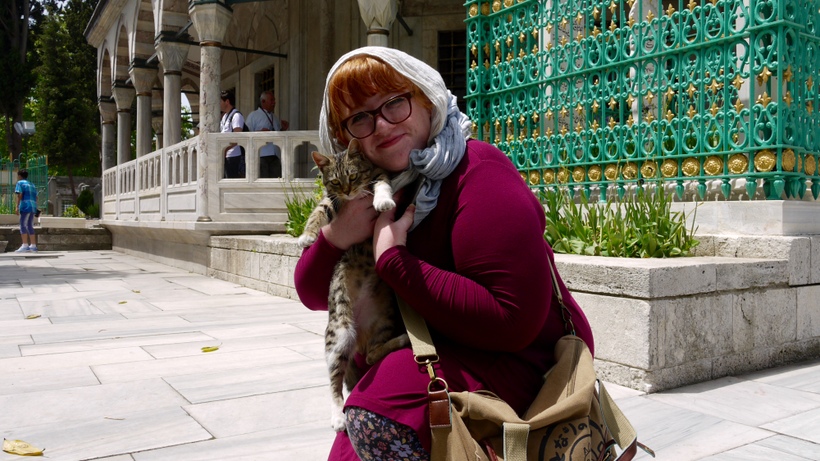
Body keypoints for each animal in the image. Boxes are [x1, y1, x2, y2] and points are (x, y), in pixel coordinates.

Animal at [300, 138, 408, 430]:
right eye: (336, 182)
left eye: (353, 176)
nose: (348, 192)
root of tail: (358, 337)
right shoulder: (331, 200)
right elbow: (317, 213)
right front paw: (307, 236)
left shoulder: (380, 174)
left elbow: (382, 185)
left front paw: (383, 201)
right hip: (338, 333)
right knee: (335, 383)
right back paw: (338, 416)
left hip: (384, 321)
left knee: (371, 355)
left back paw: (401, 340)